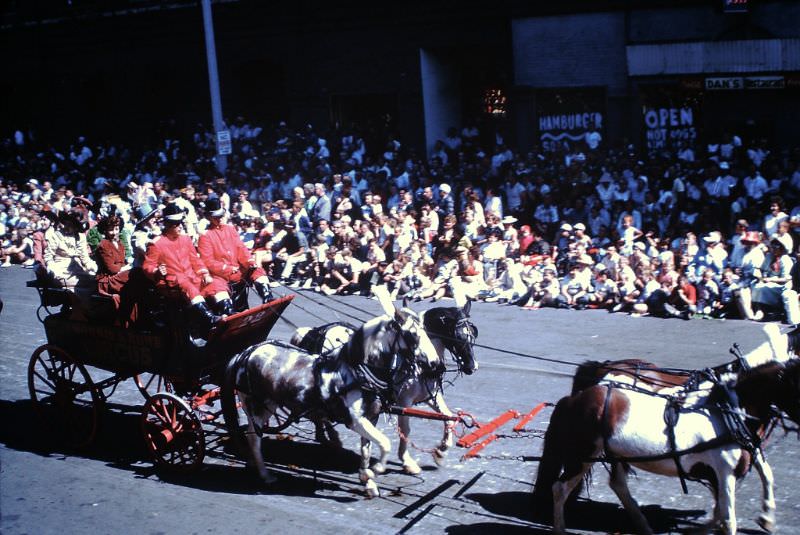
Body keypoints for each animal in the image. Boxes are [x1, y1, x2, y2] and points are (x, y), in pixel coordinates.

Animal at [222, 304, 440, 496]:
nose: (435, 363)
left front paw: (367, 480)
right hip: (257, 406)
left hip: (268, 405)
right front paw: (375, 470)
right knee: (254, 437)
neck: (357, 372)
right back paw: (265, 474)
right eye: (412, 334)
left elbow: (367, 450)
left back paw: (254, 463)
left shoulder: (371, 417)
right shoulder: (355, 420)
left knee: (253, 435)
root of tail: (244, 353)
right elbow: (385, 443)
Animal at [294, 302, 478, 474]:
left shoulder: (431, 395)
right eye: (458, 336)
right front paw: (406, 461)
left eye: (472, 334)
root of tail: (318, 330)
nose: (472, 366)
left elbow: (448, 417)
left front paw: (441, 450)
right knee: (318, 412)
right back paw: (328, 437)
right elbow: (405, 429)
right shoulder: (404, 401)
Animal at [532, 360, 800, 535]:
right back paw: (560, 529)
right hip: (584, 454)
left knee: (617, 484)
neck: (728, 410)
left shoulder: (724, 471)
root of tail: (574, 398)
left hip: (611, 453)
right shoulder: (724, 472)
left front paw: (766, 517)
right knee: (559, 488)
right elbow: (727, 518)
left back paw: (643, 525)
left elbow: (758, 482)